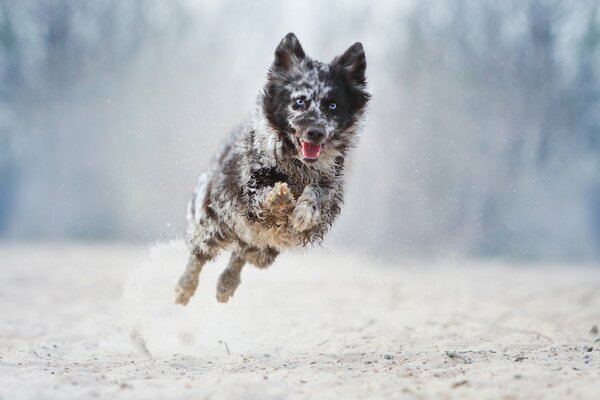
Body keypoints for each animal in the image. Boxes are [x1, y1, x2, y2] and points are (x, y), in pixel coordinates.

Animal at [175, 32, 370, 304]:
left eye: (332, 105)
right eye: (299, 101)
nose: (316, 132)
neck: (297, 165)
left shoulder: (328, 190)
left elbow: (316, 193)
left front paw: (303, 211)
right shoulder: (247, 189)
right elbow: (263, 193)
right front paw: (280, 197)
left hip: (264, 251)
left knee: (242, 254)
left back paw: (226, 283)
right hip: (214, 225)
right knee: (199, 254)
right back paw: (185, 286)